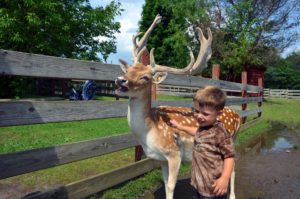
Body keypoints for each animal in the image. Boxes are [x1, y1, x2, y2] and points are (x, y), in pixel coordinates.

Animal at [115, 14, 241, 199]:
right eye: (128, 70)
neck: (149, 132)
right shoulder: (161, 158)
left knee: (232, 167)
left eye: (145, 77)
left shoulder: (174, 153)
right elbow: (165, 182)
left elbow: (171, 185)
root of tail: (238, 116)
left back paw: (231, 195)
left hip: (230, 140)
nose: (120, 80)